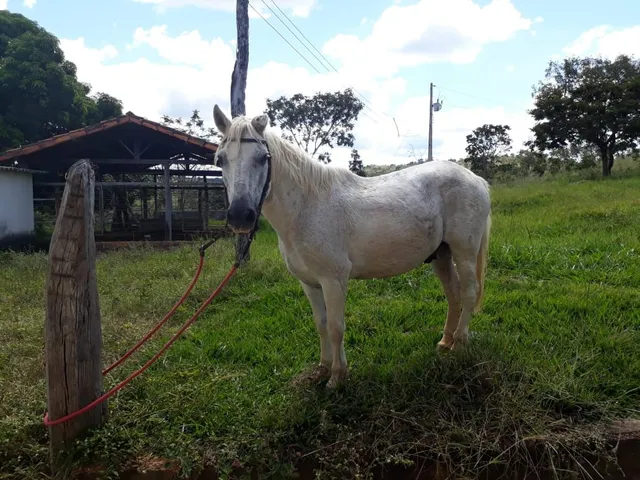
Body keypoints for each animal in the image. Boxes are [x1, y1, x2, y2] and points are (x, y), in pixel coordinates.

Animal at [212, 105, 492, 389]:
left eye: (262, 158)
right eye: (220, 160)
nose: (240, 216)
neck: (306, 208)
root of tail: (476, 180)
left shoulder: (334, 281)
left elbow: (336, 327)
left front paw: (337, 377)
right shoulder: (310, 283)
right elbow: (321, 324)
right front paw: (323, 368)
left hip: (464, 253)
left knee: (469, 292)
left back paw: (459, 345)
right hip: (441, 255)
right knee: (453, 294)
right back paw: (445, 342)